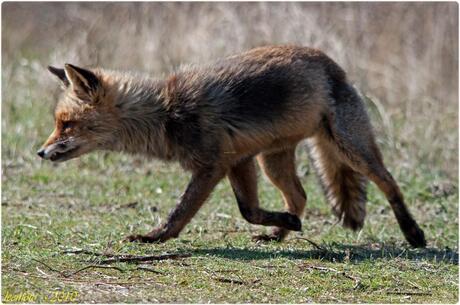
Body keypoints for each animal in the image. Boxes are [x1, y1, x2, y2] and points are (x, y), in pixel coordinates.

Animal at [37, 45, 426, 247]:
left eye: (66, 124)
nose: (41, 152)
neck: (167, 113)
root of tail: (331, 63)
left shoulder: (213, 165)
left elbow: (180, 212)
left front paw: (154, 238)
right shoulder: (240, 160)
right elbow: (248, 210)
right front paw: (283, 223)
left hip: (350, 149)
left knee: (390, 182)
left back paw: (414, 233)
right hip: (272, 161)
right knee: (300, 196)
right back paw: (278, 233)